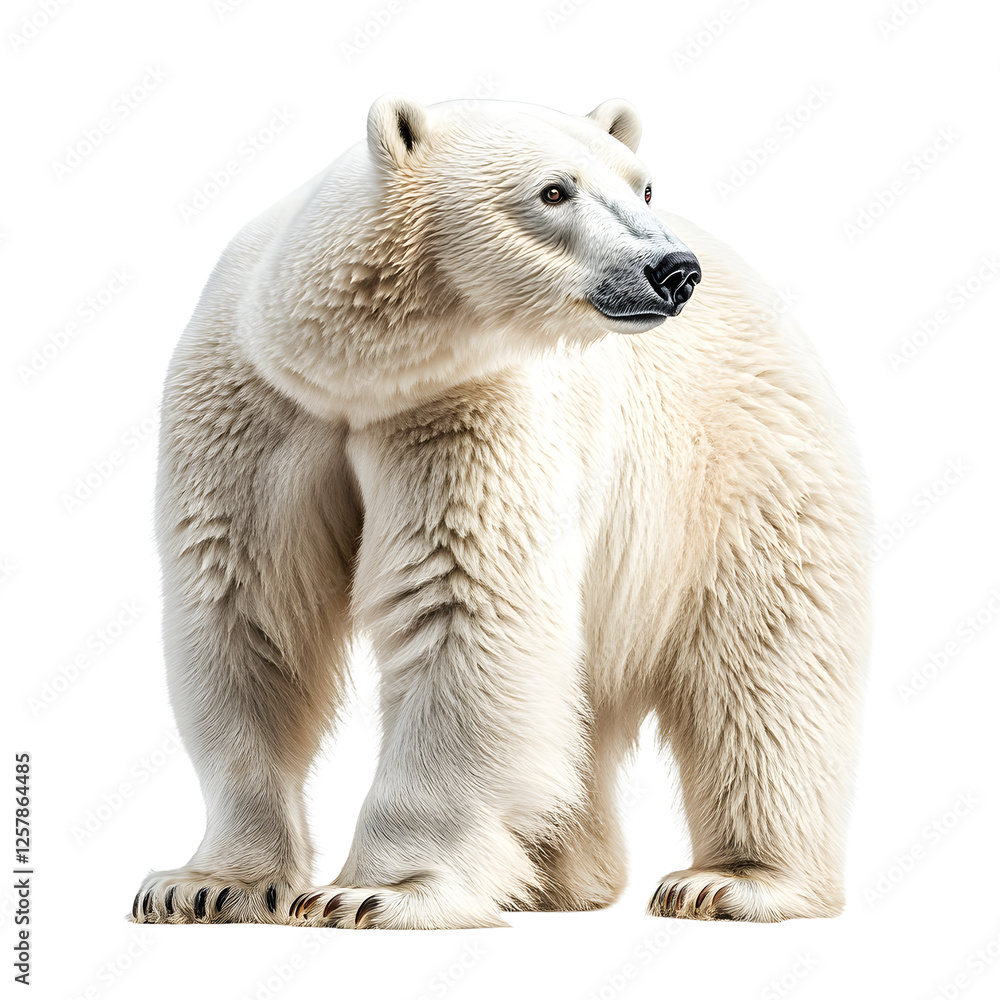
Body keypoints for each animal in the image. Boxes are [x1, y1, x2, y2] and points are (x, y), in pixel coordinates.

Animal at [129, 95, 870, 929]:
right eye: (553, 191)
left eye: (643, 186)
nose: (674, 271)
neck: (352, 377)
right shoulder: (255, 409)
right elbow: (245, 611)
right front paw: (203, 885)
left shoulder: (468, 409)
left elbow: (461, 606)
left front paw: (378, 892)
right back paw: (554, 879)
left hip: (735, 475)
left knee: (764, 673)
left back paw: (729, 881)